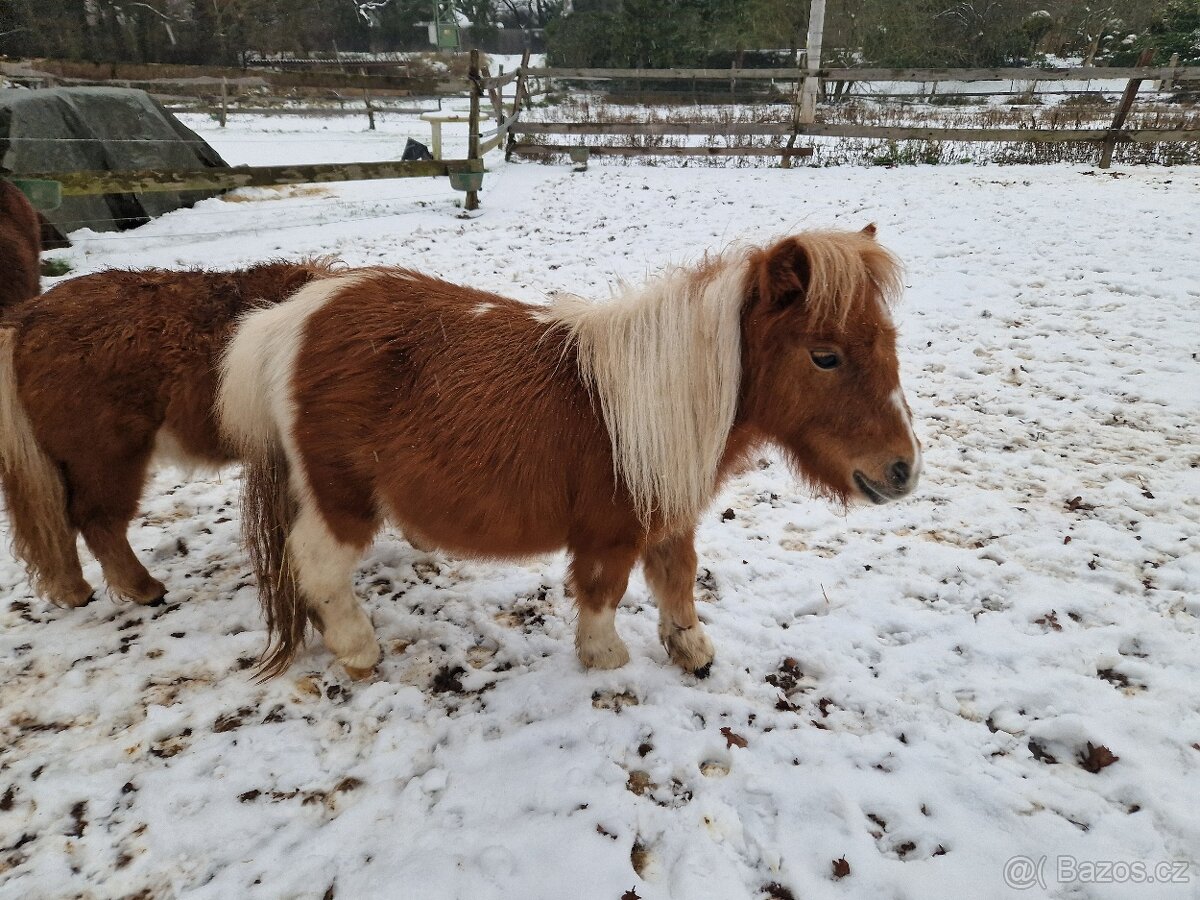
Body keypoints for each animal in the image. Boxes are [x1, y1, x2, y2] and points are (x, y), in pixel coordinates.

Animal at [0, 259, 339, 609]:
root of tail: (25, 321)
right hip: (106, 459)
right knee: (97, 521)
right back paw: (143, 588)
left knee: (57, 524)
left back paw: (75, 590)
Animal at [218, 226, 921, 680]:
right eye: (825, 356)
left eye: (889, 342)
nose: (903, 470)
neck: (656, 396)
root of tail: (291, 319)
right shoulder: (611, 530)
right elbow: (604, 591)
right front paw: (605, 658)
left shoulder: (668, 512)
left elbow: (677, 576)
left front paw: (690, 648)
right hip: (338, 496)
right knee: (317, 567)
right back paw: (359, 650)